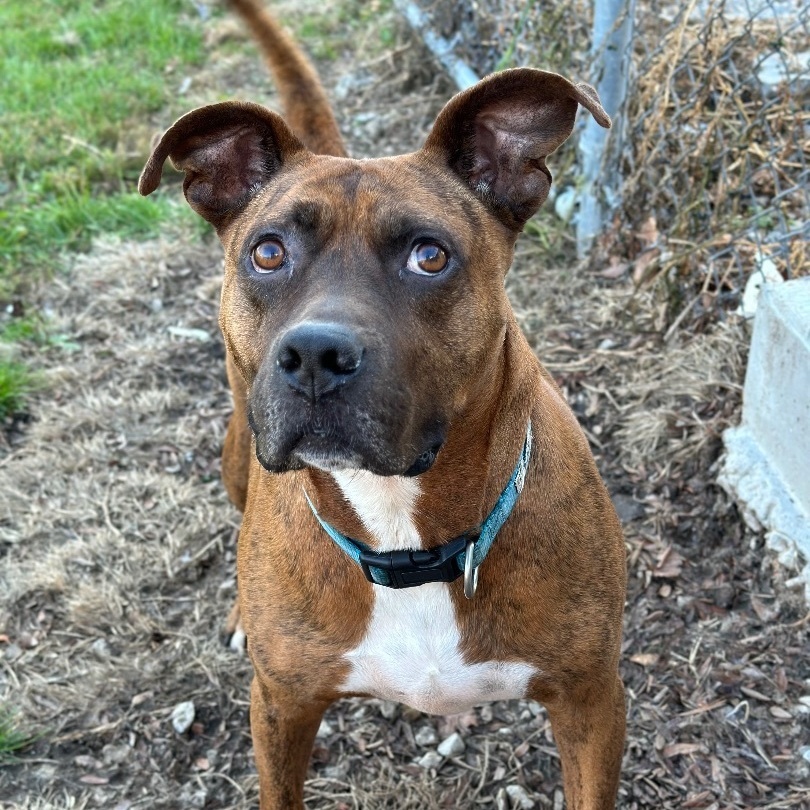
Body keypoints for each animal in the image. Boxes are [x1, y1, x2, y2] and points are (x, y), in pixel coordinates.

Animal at [139, 0, 624, 804]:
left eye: (429, 256)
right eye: (267, 252)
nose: (315, 356)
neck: (406, 538)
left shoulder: (591, 701)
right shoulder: (281, 705)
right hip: (238, 453)